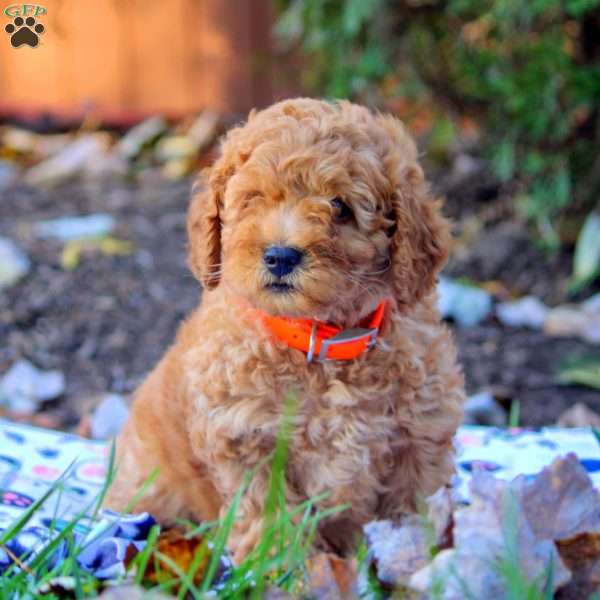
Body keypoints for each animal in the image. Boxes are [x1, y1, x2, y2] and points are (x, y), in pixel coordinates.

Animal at [105, 98, 464, 564]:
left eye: (340, 206)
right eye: (253, 199)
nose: (280, 256)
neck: (320, 342)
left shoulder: (420, 434)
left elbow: (414, 507)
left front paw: (416, 562)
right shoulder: (245, 440)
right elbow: (271, 515)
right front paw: (284, 567)